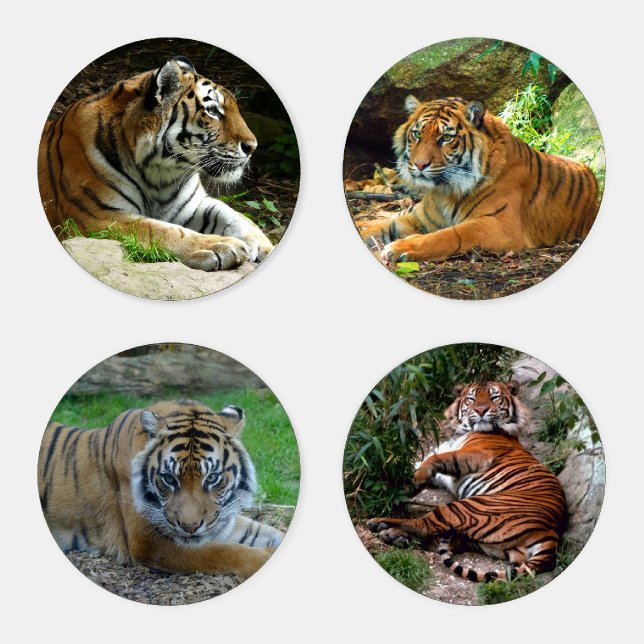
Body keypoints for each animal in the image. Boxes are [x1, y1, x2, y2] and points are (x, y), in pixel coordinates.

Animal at [38, 56, 273, 272]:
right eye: (213, 111)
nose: (253, 146)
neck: (160, 173)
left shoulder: (192, 205)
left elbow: (233, 215)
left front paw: (262, 245)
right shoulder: (95, 216)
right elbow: (160, 230)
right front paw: (221, 245)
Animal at [38, 400, 284, 579]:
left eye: (212, 477)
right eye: (168, 478)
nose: (190, 527)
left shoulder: (219, 519)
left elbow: (260, 532)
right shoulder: (149, 543)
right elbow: (225, 553)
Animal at [355, 96, 600, 263]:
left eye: (446, 138)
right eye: (417, 134)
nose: (420, 165)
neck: (444, 191)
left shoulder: (498, 226)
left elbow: (448, 236)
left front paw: (400, 249)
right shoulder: (418, 219)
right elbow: (379, 227)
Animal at [367, 381, 567, 582]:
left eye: (494, 397)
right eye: (471, 398)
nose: (481, 410)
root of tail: (550, 533)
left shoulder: (477, 454)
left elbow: (432, 460)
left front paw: (406, 486)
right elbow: (419, 462)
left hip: (467, 507)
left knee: (424, 525)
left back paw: (381, 524)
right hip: (488, 542)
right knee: (443, 539)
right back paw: (395, 536)